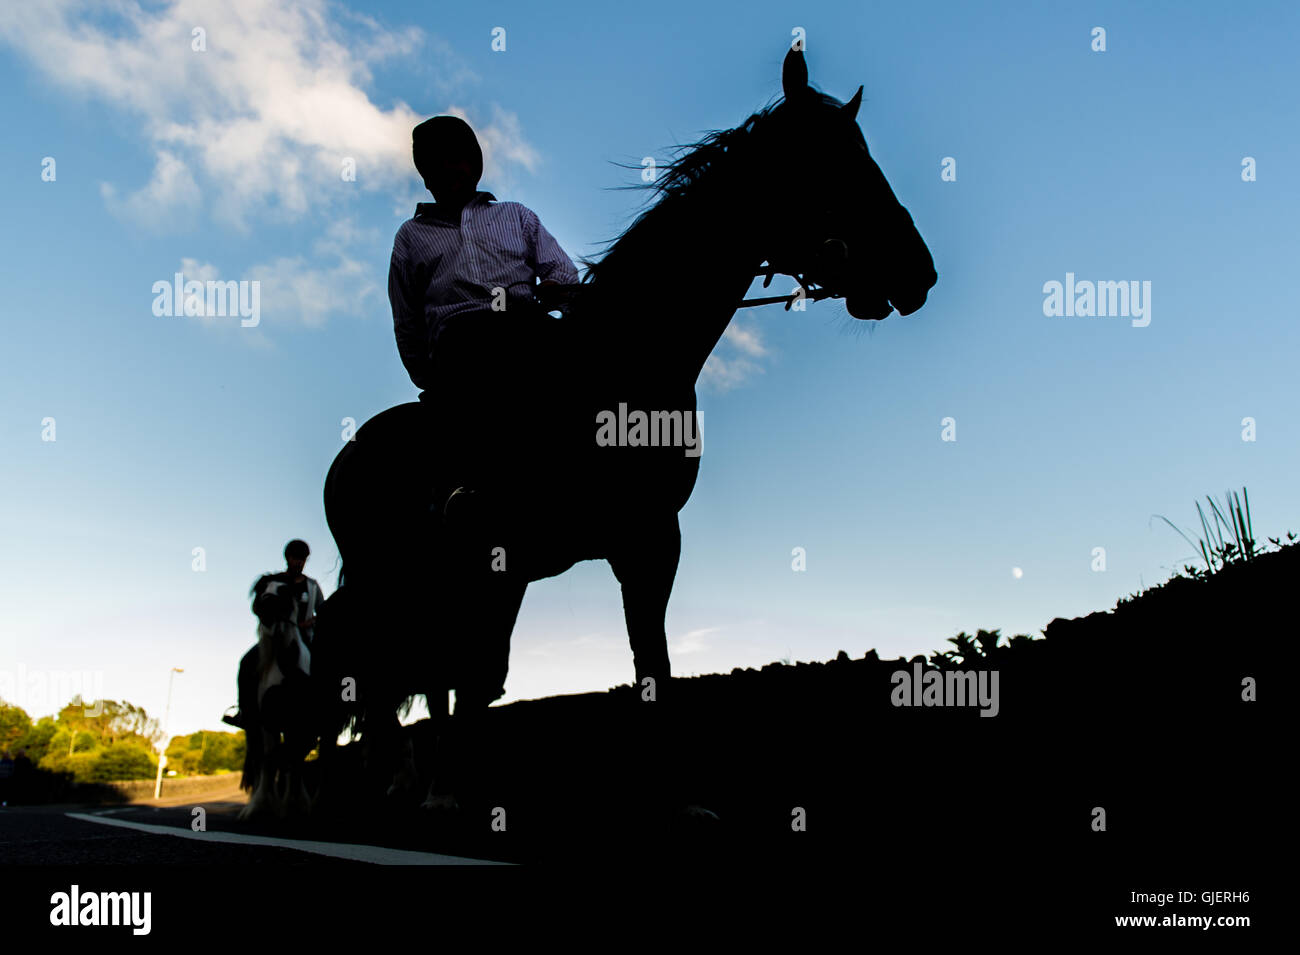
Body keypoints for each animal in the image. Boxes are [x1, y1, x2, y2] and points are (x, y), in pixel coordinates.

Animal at [319, 46, 941, 815]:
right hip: (395, 582)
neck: (618, 366)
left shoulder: (648, 541)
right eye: (832, 164)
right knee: (387, 681)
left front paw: (680, 796)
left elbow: (650, 664)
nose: (919, 271)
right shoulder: (581, 546)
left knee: (439, 679)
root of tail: (351, 453)